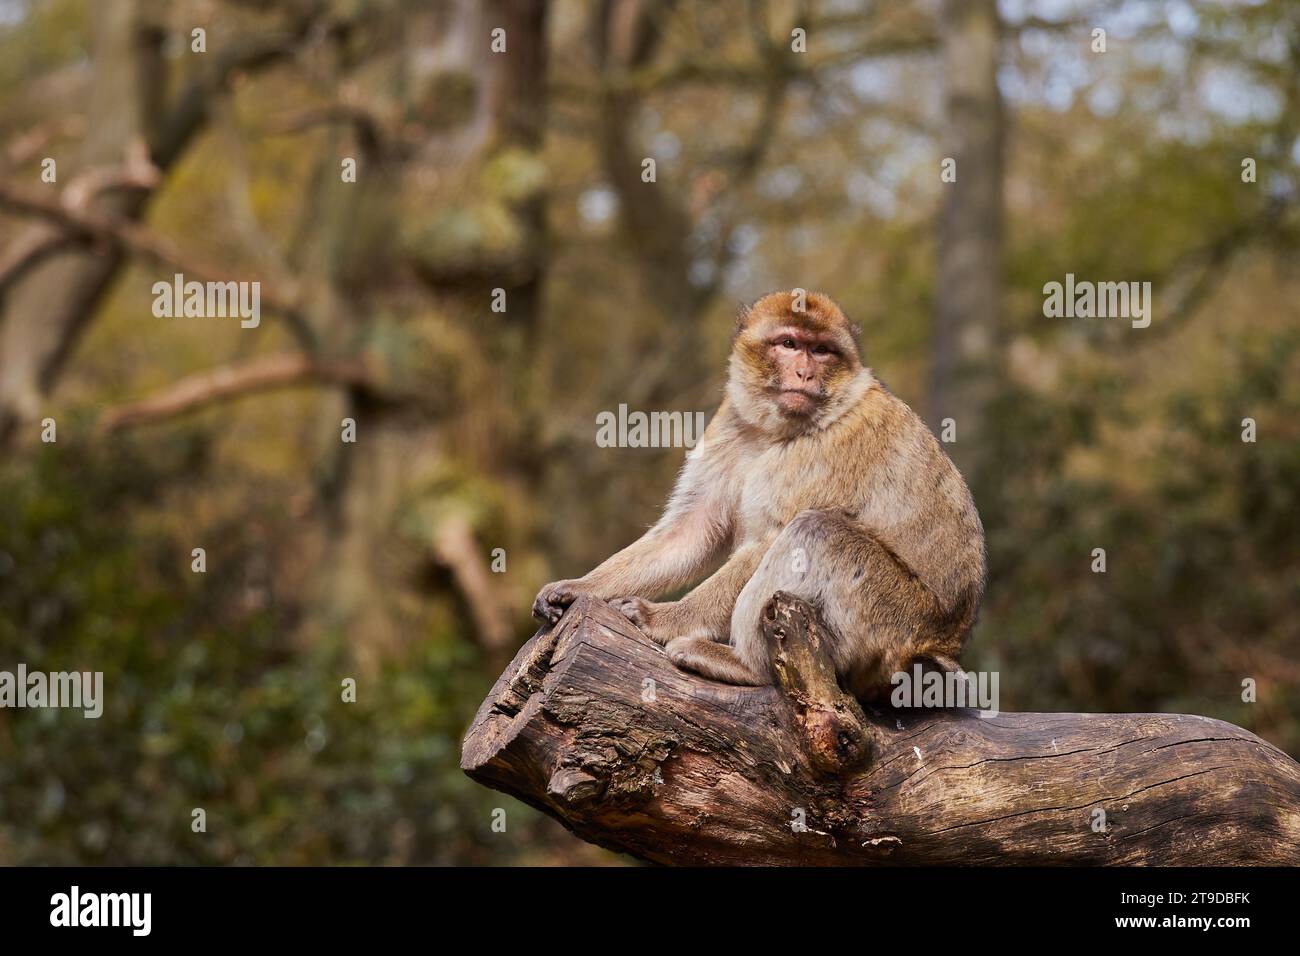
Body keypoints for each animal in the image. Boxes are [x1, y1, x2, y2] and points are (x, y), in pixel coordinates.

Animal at [532, 290, 986, 702]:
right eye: (789, 343)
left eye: (822, 350)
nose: (804, 373)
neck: (774, 429)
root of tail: (944, 644)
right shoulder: (729, 422)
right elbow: (690, 531)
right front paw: (579, 587)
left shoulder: (831, 447)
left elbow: (768, 539)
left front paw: (662, 619)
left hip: (895, 623)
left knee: (818, 531)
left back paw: (745, 664)